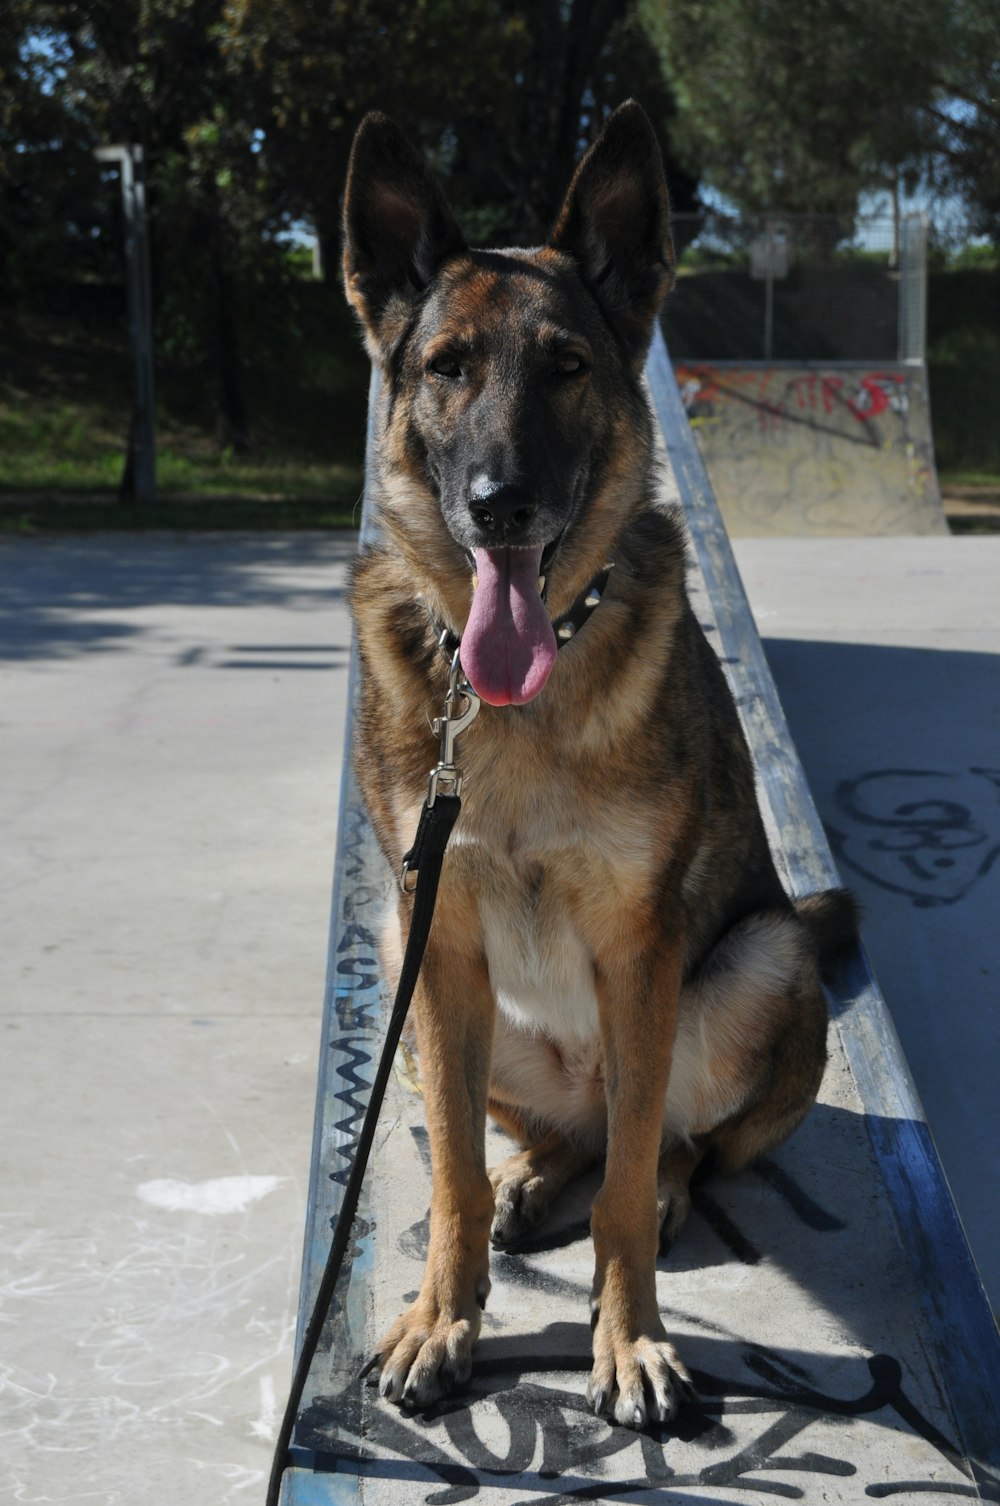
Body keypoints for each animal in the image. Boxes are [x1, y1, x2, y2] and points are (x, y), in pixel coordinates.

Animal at [341, 103, 849, 1421]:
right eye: (446, 366)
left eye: (568, 367)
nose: (499, 504)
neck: (519, 696)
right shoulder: (437, 938)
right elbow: (454, 1178)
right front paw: (443, 1318)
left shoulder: (639, 947)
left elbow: (622, 1186)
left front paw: (629, 1341)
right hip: (422, 983)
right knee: (553, 1133)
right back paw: (530, 1175)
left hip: (754, 965)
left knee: (665, 1138)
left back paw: (652, 1192)